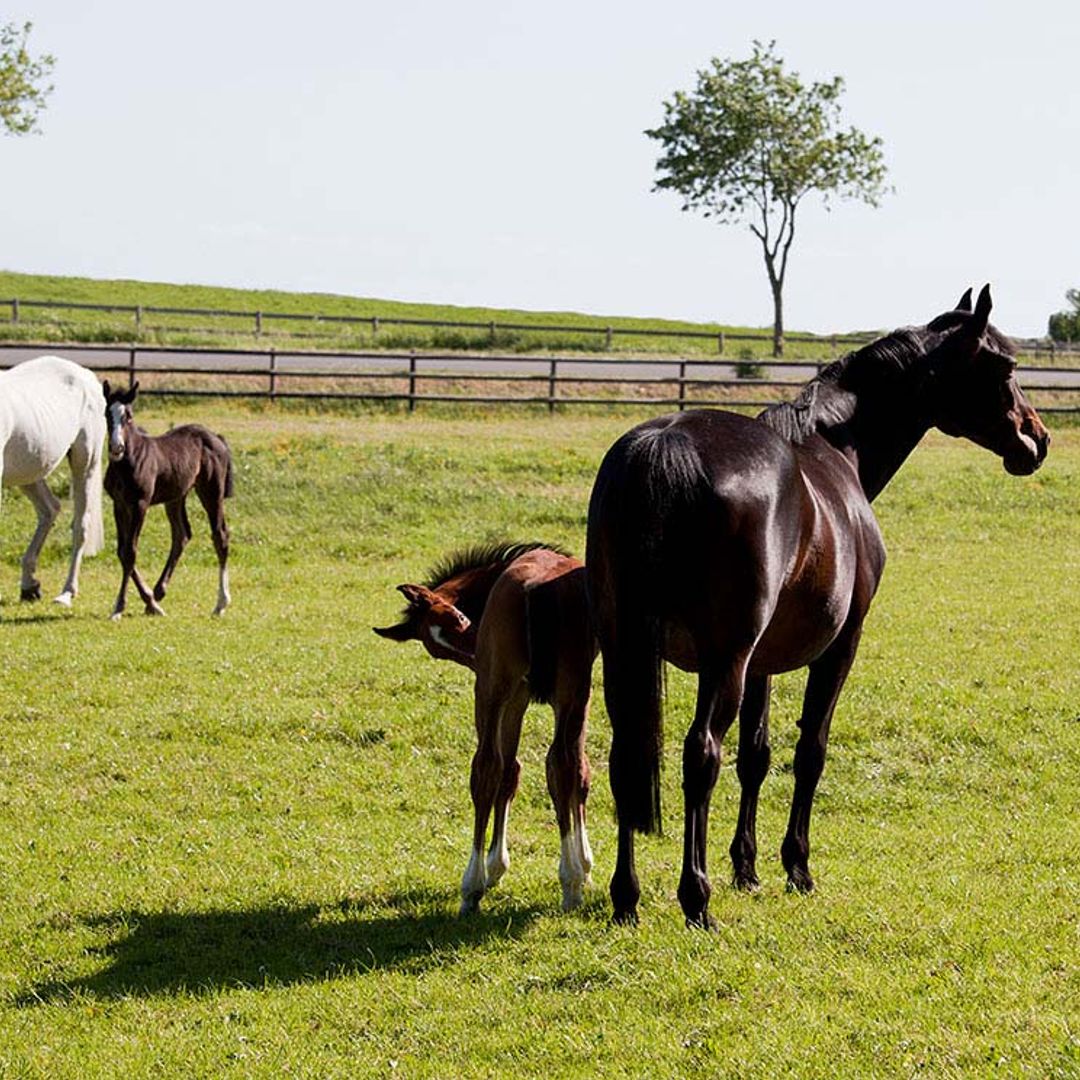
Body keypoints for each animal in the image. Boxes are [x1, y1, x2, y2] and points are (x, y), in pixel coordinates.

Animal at [0, 355, 106, 607]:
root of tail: (86, 374)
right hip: (30, 471)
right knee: (49, 509)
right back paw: (29, 586)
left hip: (85, 463)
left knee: (80, 526)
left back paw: (67, 593)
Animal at [102, 381, 233, 619]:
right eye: (107, 414)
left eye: (129, 416)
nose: (117, 448)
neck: (128, 462)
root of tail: (217, 438)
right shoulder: (119, 504)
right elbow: (122, 551)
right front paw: (150, 601)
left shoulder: (140, 504)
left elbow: (131, 552)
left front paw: (119, 607)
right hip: (176, 497)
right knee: (182, 534)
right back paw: (159, 591)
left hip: (211, 492)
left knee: (220, 535)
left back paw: (221, 603)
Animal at [374, 541, 598, 913]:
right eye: (439, 650)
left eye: (460, 617)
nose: (476, 656)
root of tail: (535, 588)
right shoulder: (532, 696)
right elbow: (568, 771)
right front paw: (583, 863)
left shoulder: (522, 695)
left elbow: (511, 771)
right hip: (550, 690)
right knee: (552, 765)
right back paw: (564, 882)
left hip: (498, 689)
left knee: (491, 767)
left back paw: (476, 885)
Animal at [585, 285, 1050, 928]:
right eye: (1005, 367)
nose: (1037, 439)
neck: (833, 448)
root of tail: (665, 445)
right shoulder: (839, 645)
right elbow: (810, 752)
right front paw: (796, 867)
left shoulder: (761, 663)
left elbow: (756, 755)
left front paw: (747, 868)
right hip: (722, 660)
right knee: (700, 754)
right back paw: (695, 897)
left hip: (627, 650)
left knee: (627, 756)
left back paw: (627, 897)